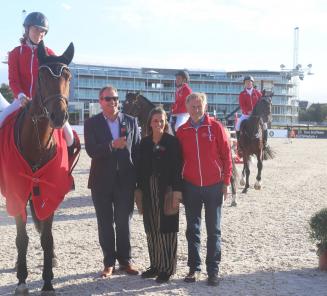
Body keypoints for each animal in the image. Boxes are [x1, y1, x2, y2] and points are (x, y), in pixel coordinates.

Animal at [0, 40, 74, 294]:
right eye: (41, 76)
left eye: (68, 75)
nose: (59, 116)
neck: (38, 142)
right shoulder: (16, 193)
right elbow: (21, 238)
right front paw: (22, 280)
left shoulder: (50, 191)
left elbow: (47, 237)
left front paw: (48, 281)